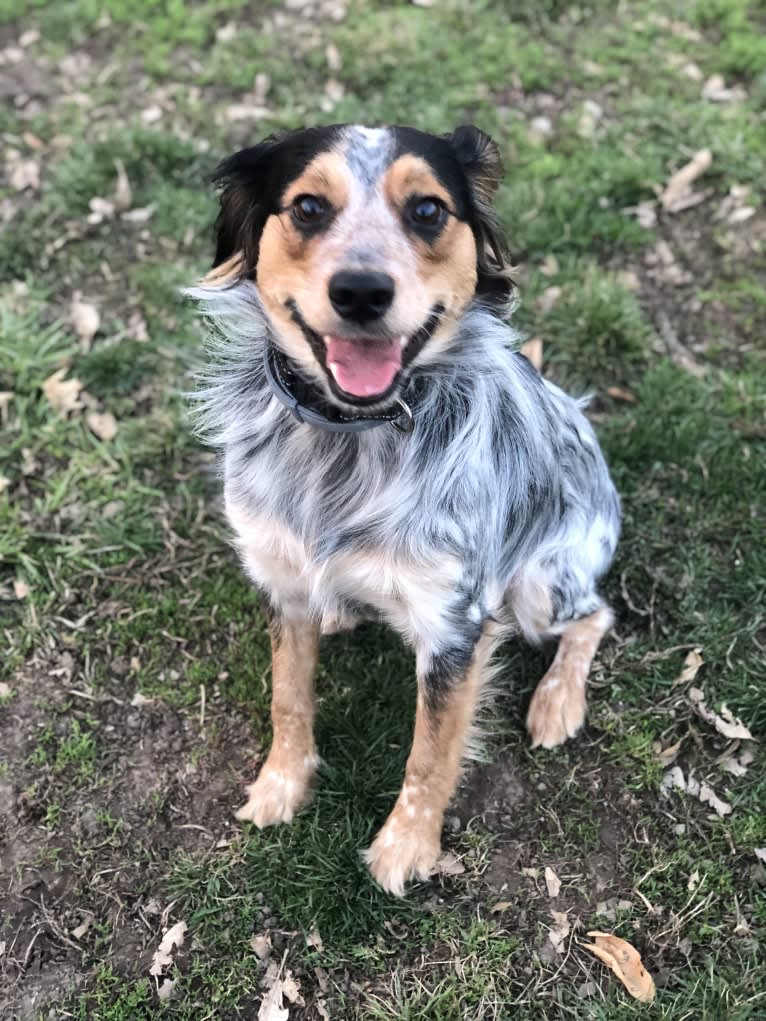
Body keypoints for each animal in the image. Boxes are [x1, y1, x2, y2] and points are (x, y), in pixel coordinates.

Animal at [187, 125, 625, 894]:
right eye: (307, 207)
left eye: (427, 210)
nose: (362, 290)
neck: (347, 437)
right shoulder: (281, 580)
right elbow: (287, 697)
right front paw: (280, 785)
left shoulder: (455, 624)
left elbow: (430, 752)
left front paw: (407, 844)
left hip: (541, 585)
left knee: (596, 615)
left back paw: (557, 701)